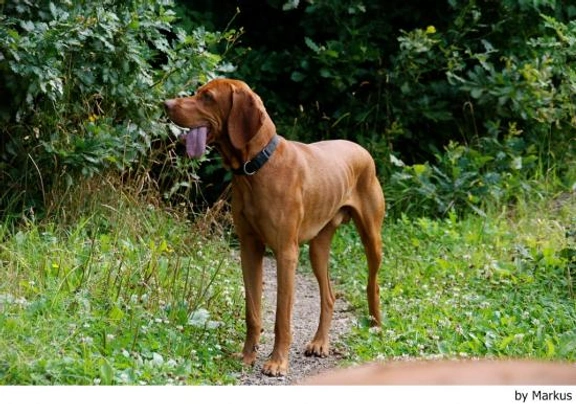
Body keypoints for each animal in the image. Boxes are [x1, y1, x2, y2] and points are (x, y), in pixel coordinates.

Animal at [164, 79, 384, 376]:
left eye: (207, 97)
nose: (166, 104)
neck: (255, 167)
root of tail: (361, 149)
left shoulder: (285, 253)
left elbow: (282, 316)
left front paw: (278, 361)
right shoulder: (249, 249)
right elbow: (253, 311)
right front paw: (248, 356)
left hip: (371, 238)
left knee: (373, 284)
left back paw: (376, 327)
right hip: (318, 248)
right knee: (328, 295)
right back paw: (320, 343)